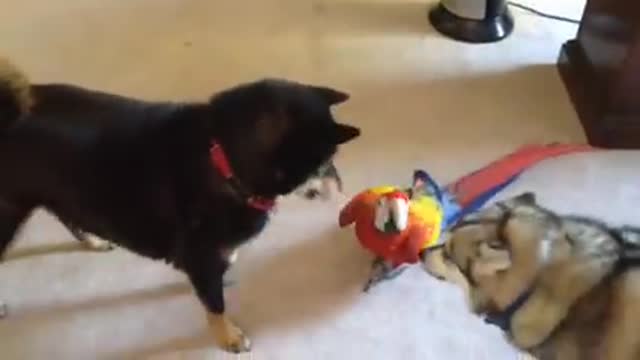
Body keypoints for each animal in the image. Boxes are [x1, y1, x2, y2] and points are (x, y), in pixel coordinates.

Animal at [0, 57, 360, 352]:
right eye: (323, 162)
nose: (342, 187)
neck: (222, 159)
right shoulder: (201, 258)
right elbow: (215, 305)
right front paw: (228, 336)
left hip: (57, 191)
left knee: (67, 215)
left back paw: (93, 240)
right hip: (12, 210)